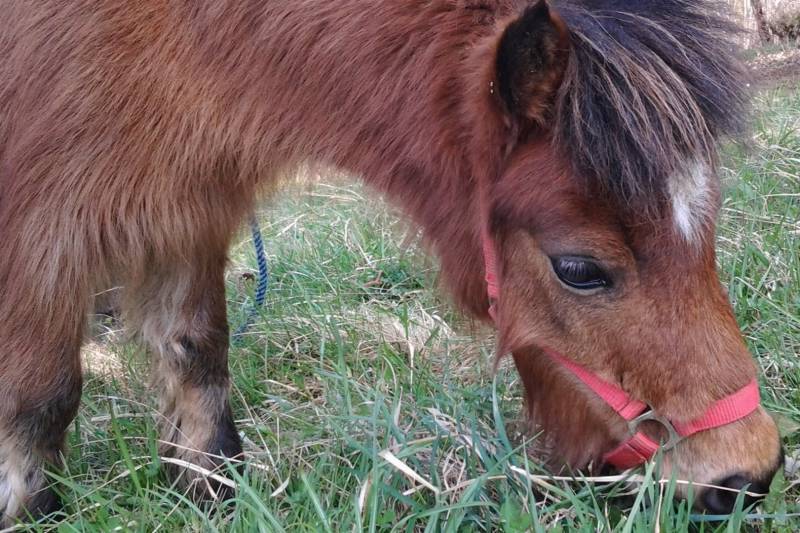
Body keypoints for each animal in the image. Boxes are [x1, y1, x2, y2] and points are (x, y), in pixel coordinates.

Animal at [0, 0, 784, 520]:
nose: (744, 476)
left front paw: (208, 486)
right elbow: (42, 391)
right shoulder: (45, 223)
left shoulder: (183, 205)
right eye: (580, 269)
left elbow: (197, 352)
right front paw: (29, 508)